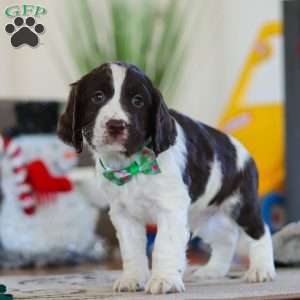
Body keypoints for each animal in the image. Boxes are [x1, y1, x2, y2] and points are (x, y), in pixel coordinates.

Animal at [57, 62, 276, 294]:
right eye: (97, 97)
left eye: (137, 101)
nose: (116, 125)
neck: (132, 166)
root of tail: (244, 152)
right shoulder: (123, 214)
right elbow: (131, 250)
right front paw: (132, 279)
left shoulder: (171, 209)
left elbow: (164, 246)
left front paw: (164, 280)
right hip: (205, 217)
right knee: (227, 237)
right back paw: (213, 270)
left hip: (241, 205)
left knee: (260, 231)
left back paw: (261, 269)